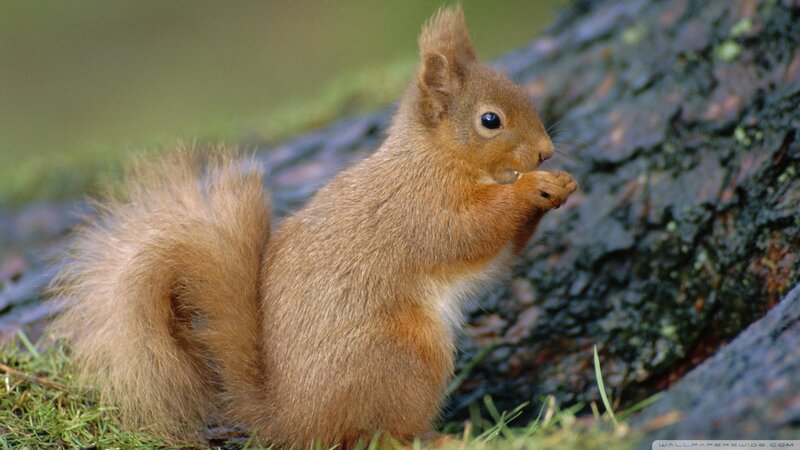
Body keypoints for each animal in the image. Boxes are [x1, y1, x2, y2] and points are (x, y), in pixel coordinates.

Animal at [50, 6, 577, 448]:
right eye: (490, 120)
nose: (545, 152)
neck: (435, 158)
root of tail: (292, 420)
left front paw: (561, 184)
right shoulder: (423, 210)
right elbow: (472, 231)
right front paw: (532, 188)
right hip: (405, 357)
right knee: (375, 437)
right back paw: (443, 439)